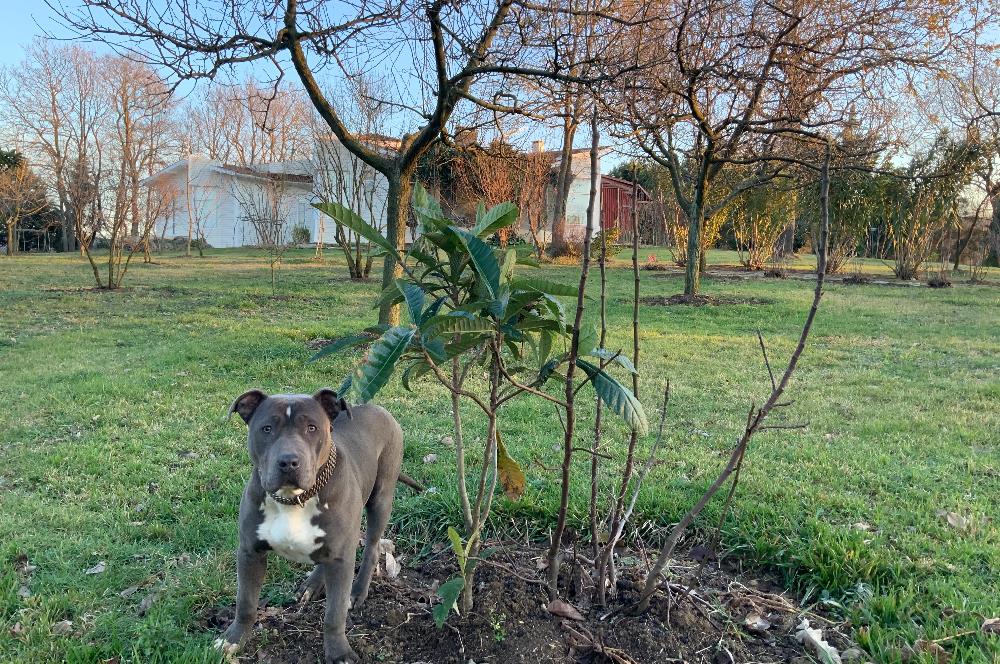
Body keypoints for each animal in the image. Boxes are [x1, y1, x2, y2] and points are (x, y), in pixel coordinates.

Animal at [219, 386, 402, 660]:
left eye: (312, 428)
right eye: (267, 428)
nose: (288, 462)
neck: (294, 499)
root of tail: (378, 408)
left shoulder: (341, 558)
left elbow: (334, 614)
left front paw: (339, 652)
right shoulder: (249, 552)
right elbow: (246, 602)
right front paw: (233, 639)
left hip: (381, 498)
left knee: (371, 546)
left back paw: (357, 591)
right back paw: (313, 583)